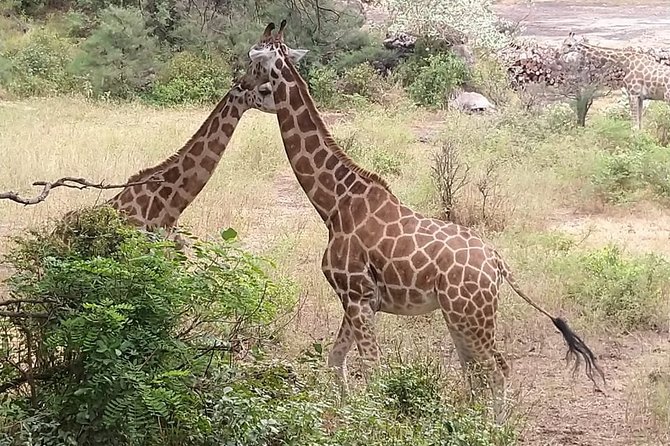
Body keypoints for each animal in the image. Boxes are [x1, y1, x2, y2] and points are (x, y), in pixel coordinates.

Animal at [242, 21, 605, 416]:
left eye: (258, 70)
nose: (239, 86)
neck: (334, 205)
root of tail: (498, 264)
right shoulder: (359, 300)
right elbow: (336, 359)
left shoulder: (356, 295)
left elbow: (372, 369)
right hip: (461, 315)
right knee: (476, 370)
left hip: (469, 314)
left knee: (496, 369)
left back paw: (492, 424)